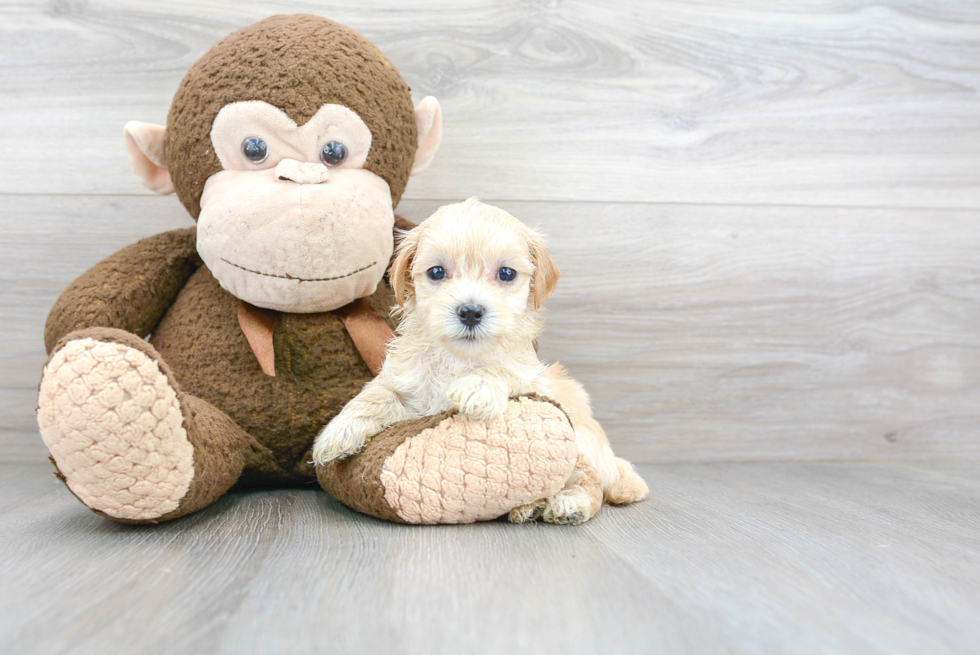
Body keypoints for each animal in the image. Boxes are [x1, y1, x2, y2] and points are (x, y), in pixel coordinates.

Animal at [314, 197, 648, 524]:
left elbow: (502, 370)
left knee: (589, 482)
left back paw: (569, 504)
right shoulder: (409, 387)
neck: (460, 358)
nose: (471, 311)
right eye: (437, 272)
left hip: (580, 441)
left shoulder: (533, 379)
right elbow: (376, 393)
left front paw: (476, 388)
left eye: (506, 273)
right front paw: (338, 432)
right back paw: (528, 507)